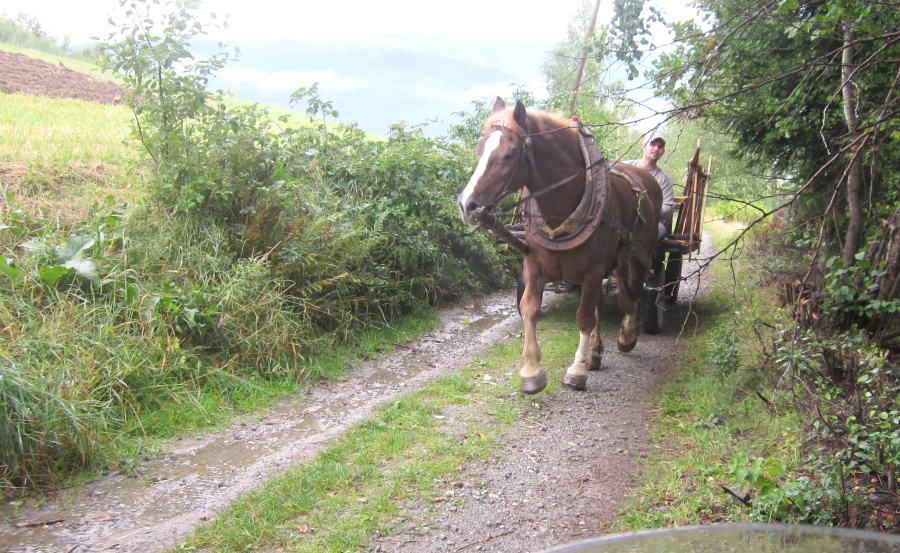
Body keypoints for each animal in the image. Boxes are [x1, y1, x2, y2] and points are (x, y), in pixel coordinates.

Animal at [458, 98, 660, 392]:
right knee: (606, 299)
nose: (467, 205)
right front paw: (532, 371)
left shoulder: (593, 269)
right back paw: (596, 352)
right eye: (480, 148)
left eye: (508, 154)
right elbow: (529, 308)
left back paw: (627, 334)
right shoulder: (534, 264)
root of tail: (645, 178)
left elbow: (584, 317)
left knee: (633, 291)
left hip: (636, 255)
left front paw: (577, 370)